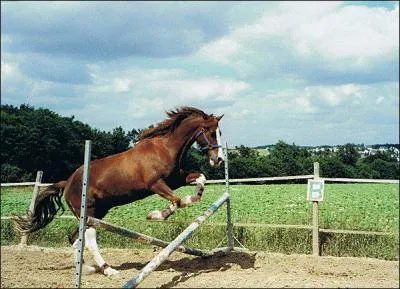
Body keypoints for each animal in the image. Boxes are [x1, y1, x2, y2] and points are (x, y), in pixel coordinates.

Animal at [13, 105, 225, 274]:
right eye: (211, 132)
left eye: (219, 133)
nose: (219, 160)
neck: (165, 148)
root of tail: (68, 182)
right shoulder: (156, 184)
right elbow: (176, 201)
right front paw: (155, 215)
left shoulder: (176, 179)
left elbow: (200, 179)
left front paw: (195, 197)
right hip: (89, 212)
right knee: (89, 237)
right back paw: (108, 270)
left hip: (97, 212)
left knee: (75, 238)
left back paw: (86, 268)